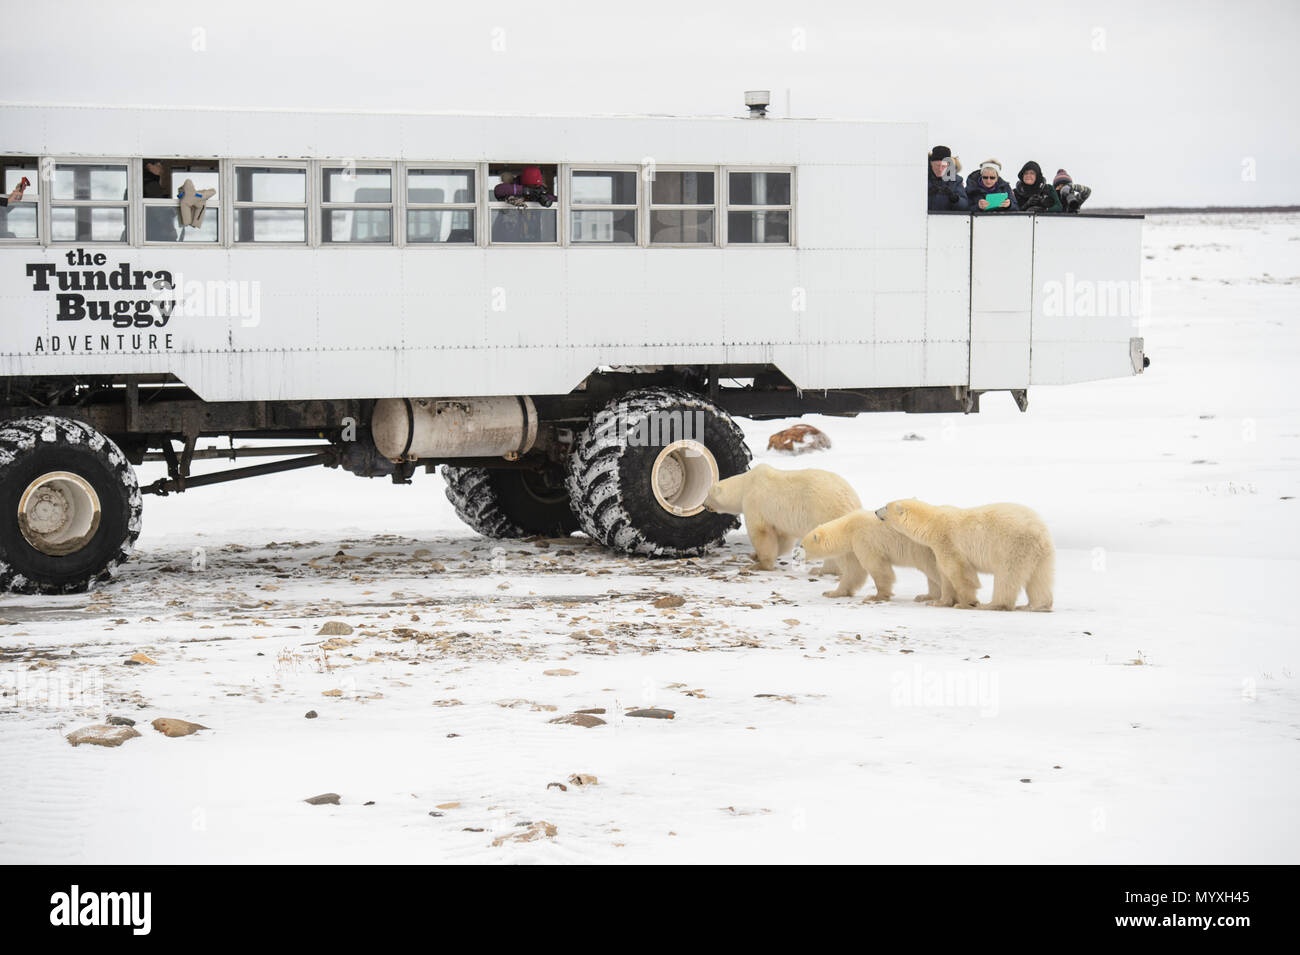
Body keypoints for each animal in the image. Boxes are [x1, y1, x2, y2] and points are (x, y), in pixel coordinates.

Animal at [702, 465, 863, 595]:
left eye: (708, 494)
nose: (703, 504)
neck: (745, 484)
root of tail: (852, 501)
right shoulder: (780, 520)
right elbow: (783, 539)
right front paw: (755, 556)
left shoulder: (755, 502)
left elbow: (761, 533)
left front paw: (759, 564)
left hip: (825, 512)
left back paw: (821, 570)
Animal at [800, 511, 946, 600]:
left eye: (802, 546)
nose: (799, 558)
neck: (849, 528)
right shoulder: (854, 547)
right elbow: (854, 571)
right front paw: (831, 592)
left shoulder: (864, 539)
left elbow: (877, 568)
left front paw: (877, 596)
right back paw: (926, 596)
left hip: (923, 549)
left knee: (933, 570)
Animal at [873, 501, 1055, 613]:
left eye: (886, 506)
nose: (875, 511)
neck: (932, 523)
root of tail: (1039, 531)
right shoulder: (937, 547)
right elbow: (944, 575)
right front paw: (938, 602)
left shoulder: (946, 540)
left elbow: (958, 572)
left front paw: (966, 603)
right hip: (1041, 553)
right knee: (1040, 579)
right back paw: (1035, 606)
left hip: (1012, 546)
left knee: (1007, 576)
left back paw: (992, 604)